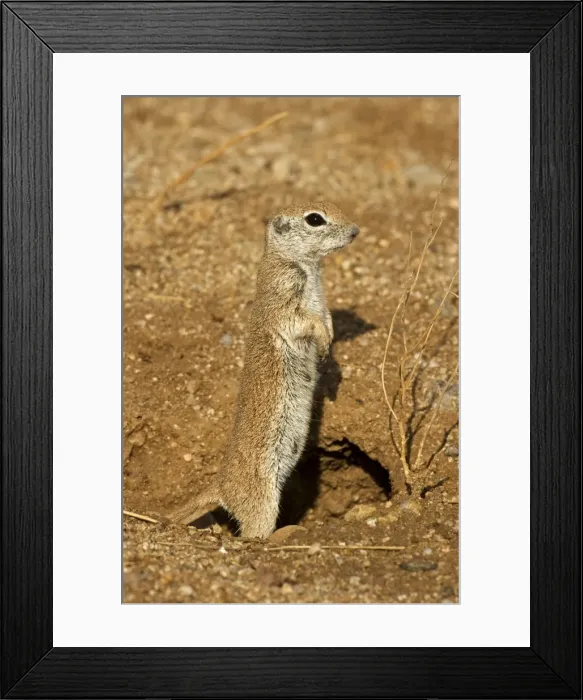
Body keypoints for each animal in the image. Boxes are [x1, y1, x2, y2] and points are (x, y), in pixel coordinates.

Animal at [170, 202, 359, 538]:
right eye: (315, 219)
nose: (355, 231)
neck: (307, 267)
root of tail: (221, 485)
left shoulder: (320, 301)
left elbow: (325, 318)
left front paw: (330, 348)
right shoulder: (283, 296)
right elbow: (305, 321)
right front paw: (324, 342)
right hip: (262, 499)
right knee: (253, 534)